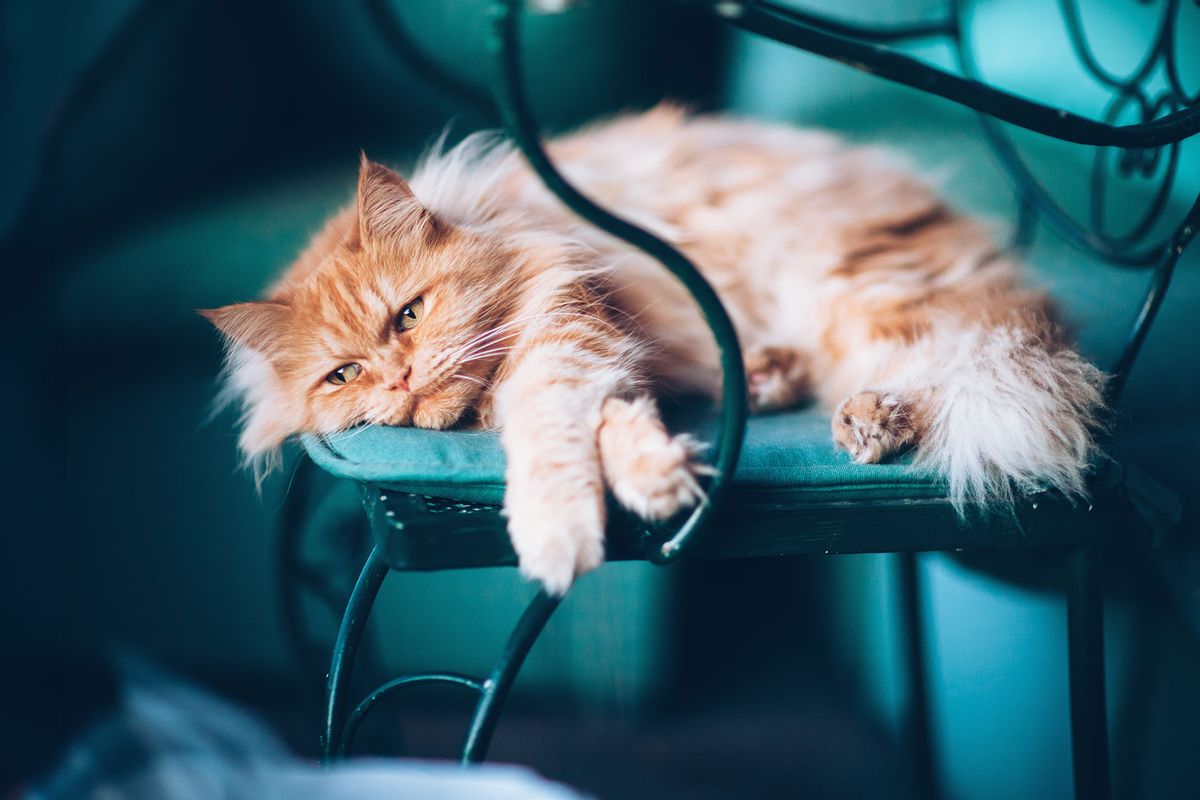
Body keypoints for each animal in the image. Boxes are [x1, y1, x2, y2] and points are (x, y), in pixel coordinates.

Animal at [199, 104, 1104, 594]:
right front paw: (656, 474)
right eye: (343, 375)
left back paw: (873, 420)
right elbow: (610, 424)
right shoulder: (598, 357)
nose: (400, 378)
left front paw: (559, 538)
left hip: (856, 293)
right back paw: (771, 380)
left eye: (409, 315)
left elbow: (549, 441)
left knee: (963, 359)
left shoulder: (564, 331)